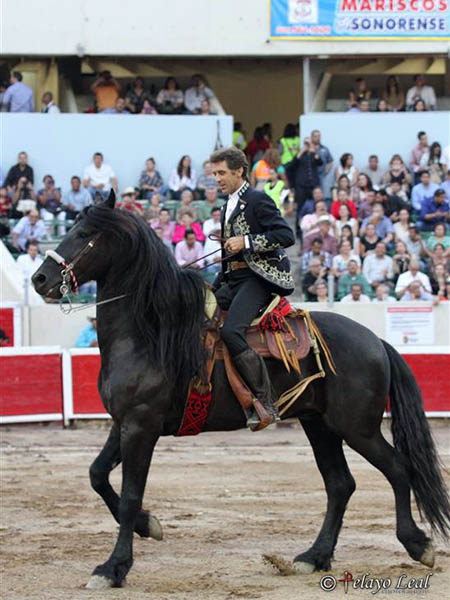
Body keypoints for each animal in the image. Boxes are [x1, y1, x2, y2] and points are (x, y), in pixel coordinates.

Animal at [32, 191, 450, 590]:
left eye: (84, 233)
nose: (39, 279)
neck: (151, 333)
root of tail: (375, 340)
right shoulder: (123, 423)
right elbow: (97, 475)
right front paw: (149, 526)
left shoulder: (141, 425)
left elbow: (130, 497)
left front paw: (113, 567)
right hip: (319, 425)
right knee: (340, 485)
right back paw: (313, 556)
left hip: (357, 428)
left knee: (397, 469)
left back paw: (417, 544)